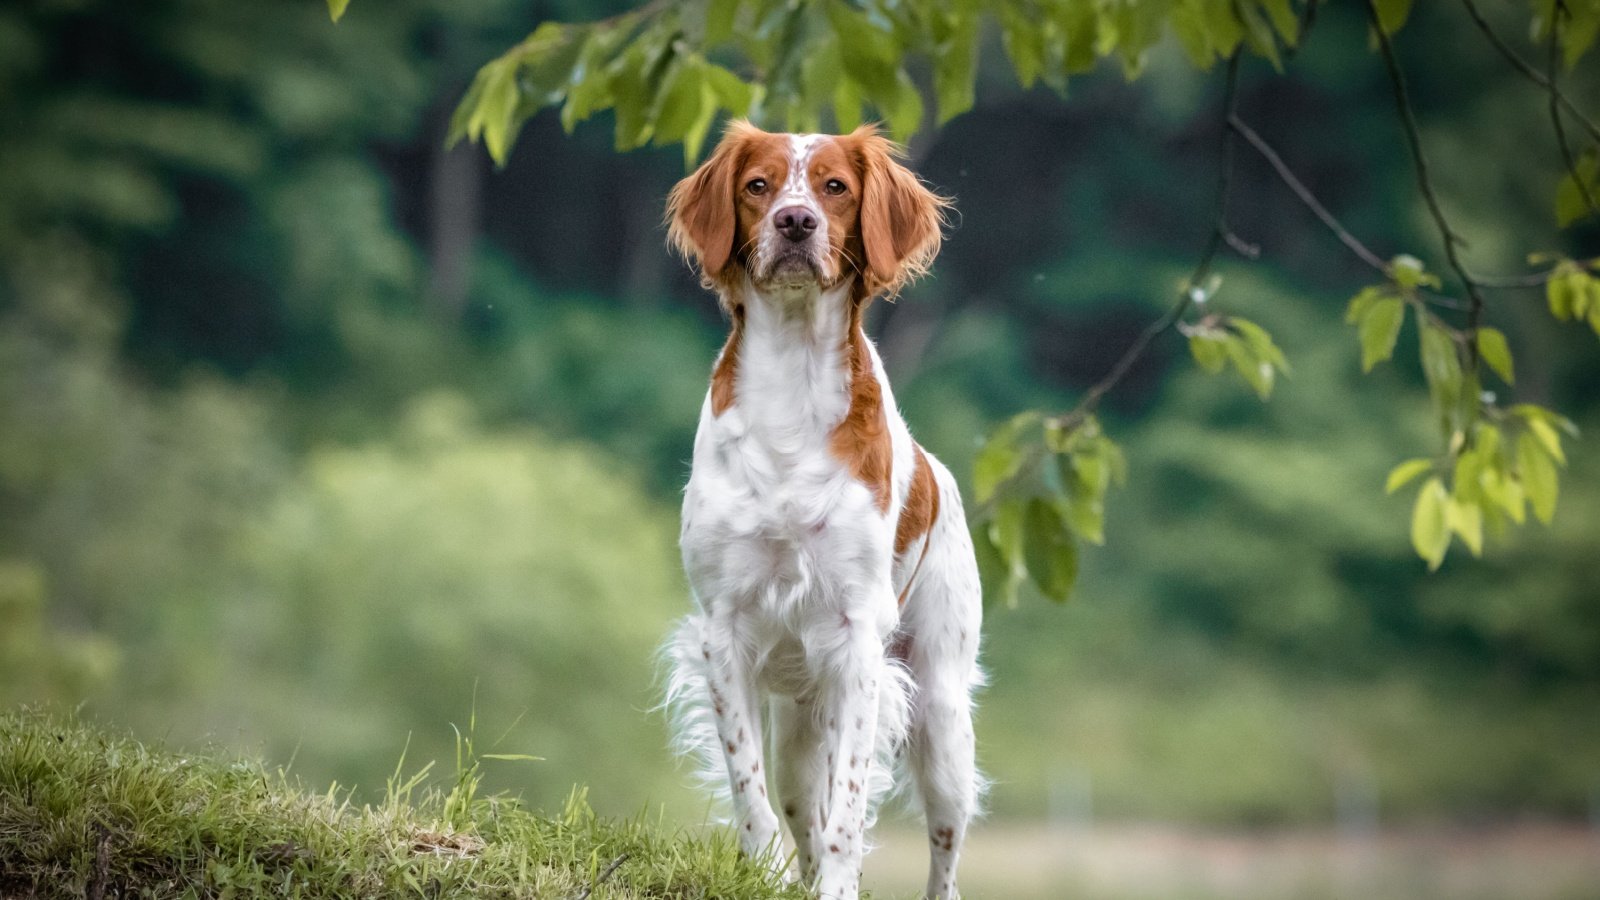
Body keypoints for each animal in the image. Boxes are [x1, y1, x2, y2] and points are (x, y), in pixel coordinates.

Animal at [662, 120, 985, 896]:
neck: (793, 381)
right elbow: (750, 792)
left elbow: (849, 807)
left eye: (835, 186)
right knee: (796, 802)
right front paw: (768, 875)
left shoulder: (857, 639)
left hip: (941, 719)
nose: (795, 222)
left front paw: (840, 884)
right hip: (801, 728)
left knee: (944, 854)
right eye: (758, 185)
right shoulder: (725, 632)